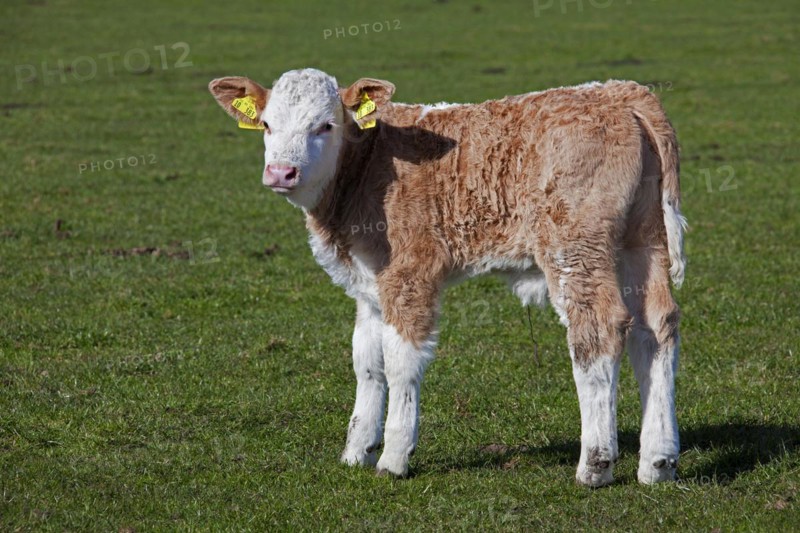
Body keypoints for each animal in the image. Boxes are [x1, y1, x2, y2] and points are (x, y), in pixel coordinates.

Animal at [208, 68, 687, 486]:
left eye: (325, 125)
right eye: (266, 124)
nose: (281, 172)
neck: (366, 164)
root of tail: (619, 93)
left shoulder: (409, 274)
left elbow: (400, 363)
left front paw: (393, 458)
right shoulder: (369, 288)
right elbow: (367, 362)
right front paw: (356, 451)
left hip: (575, 247)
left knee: (598, 330)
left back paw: (595, 465)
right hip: (643, 241)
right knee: (655, 328)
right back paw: (658, 462)